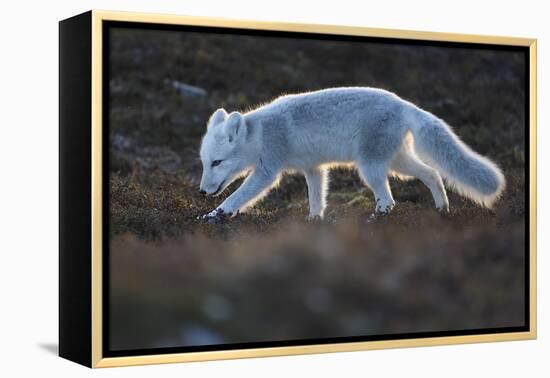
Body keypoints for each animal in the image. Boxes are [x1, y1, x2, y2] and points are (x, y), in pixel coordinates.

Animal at [199, 86, 508, 221]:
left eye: (217, 162)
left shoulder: (267, 172)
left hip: (371, 167)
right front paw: (314, 222)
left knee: (389, 199)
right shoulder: (314, 169)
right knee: (432, 173)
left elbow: (237, 197)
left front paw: (214, 216)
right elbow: (317, 200)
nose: (201, 192)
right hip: (399, 164)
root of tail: (404, 104)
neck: (260, 134)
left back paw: (377, 221)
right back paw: (442, 210)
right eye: (204, 163)